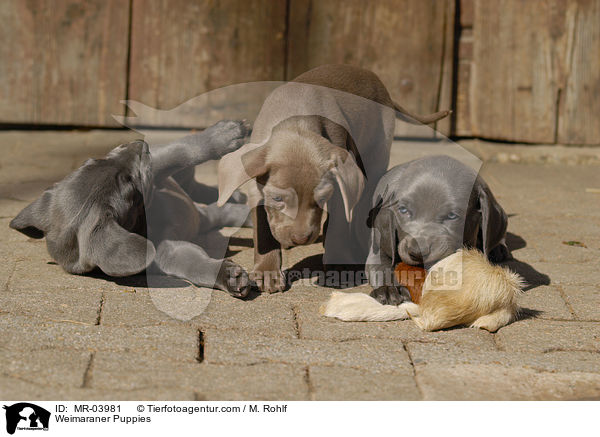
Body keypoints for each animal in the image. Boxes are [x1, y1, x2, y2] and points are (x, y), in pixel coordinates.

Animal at [9, 119, 253, 296]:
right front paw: (228, 276)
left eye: (92, 160)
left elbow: (181, 151)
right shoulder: (165, 252)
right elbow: (193, 262)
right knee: (215, 209)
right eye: (129, 184)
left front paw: (224, 134)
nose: (138, 143)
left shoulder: (156, 171)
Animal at [218, 63, 448, 292]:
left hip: (375, 154)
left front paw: (338, 262)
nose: (301, 238)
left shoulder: (339, 186)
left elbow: (339, 223)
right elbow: (263, 230)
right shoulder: (256, 189)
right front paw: (267, 271)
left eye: (321, 199)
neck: (297, 118)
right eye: (277, 199)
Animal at [366, 155, 510, 304]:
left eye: (452, 216)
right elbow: (381, 268)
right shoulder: (379, 247)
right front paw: (389, 289)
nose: (417, 253)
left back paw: (497, 248)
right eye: (403, 210)